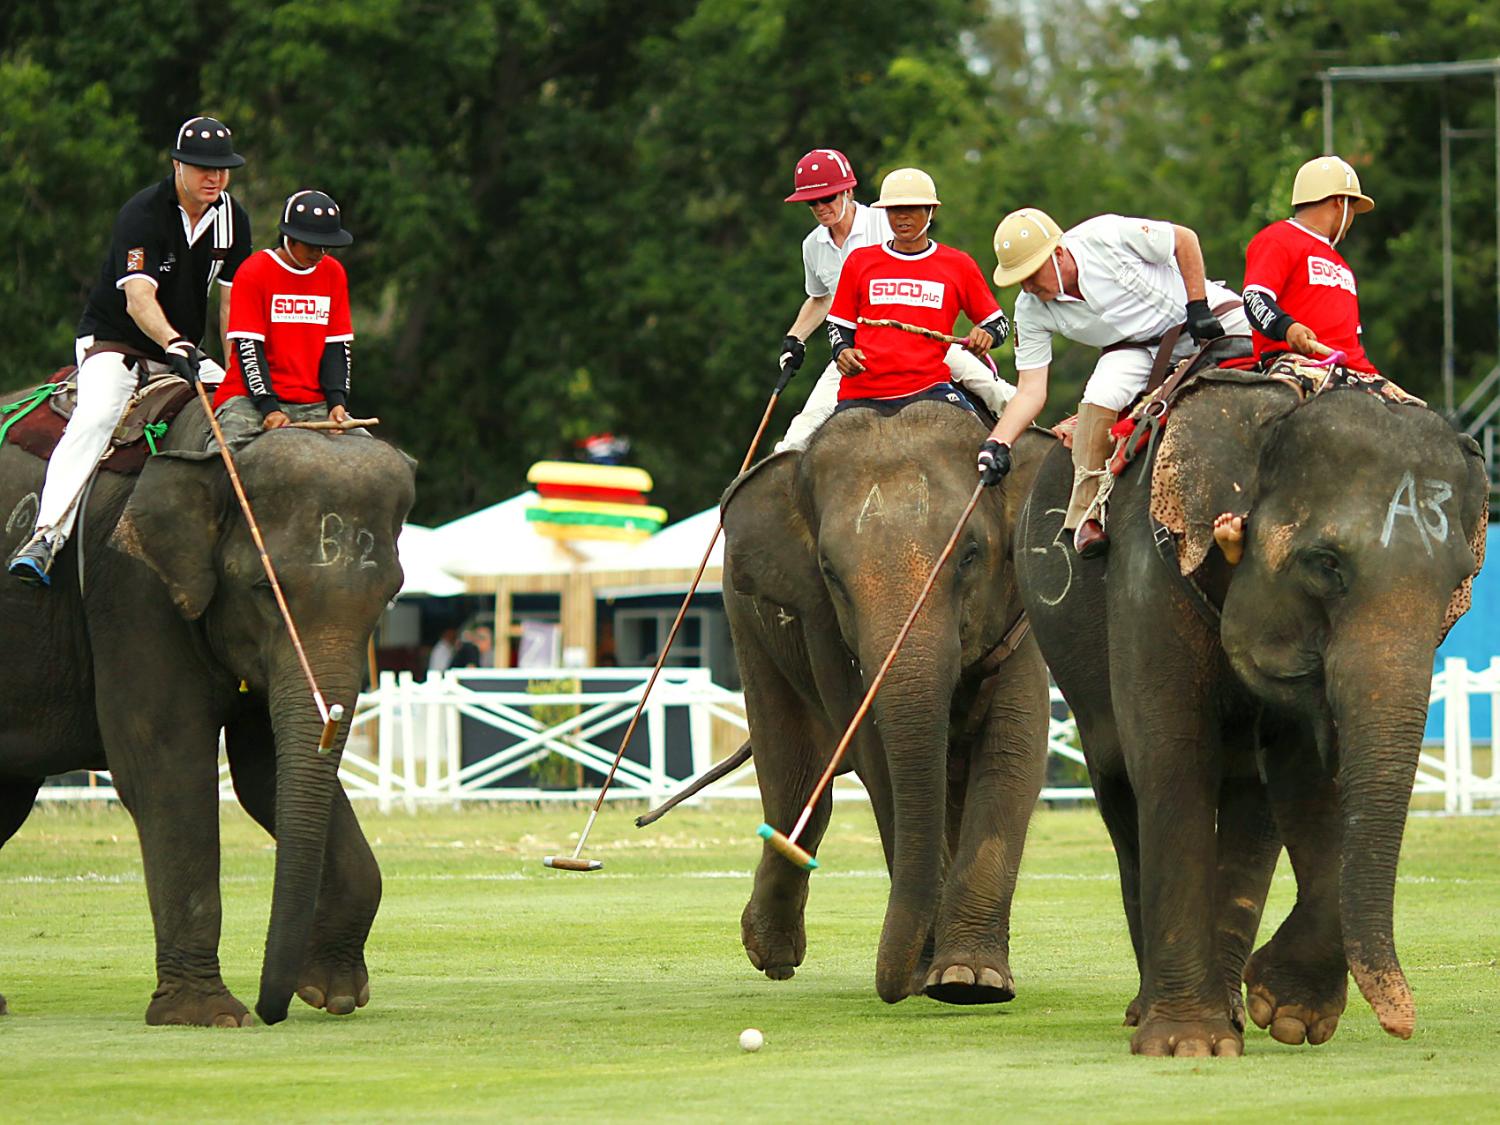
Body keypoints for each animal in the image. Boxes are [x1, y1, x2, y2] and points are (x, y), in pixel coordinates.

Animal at [0, 395, 414, 1025]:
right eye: (265, 589)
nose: (275, 1010)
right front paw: (211, 1015)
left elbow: (263, 774)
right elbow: (166, 768)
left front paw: (333, 993)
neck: (212, 452)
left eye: (390, 595)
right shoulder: (131, 591)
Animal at [721, 399, 1052, 1005]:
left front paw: (971, 980)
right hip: (748, 627)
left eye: (970, 555)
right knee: (794, 779)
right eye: (831, 573)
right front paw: (933, 974)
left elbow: (1015, 746)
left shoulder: (1020, 611)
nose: (894, 987)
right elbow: (880, 764)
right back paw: (772, 955)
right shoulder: (823, 626)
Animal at [1016, 376, 1488, 1056]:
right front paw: (1188, 1044)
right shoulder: (1149, 566)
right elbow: (1171, 751)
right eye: (1326, 564)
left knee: (1252, 798)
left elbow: (1310, 774)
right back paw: (1152, 1010)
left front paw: (1286, 1013)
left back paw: (1234, 1007)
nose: (1402, 1022)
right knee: (1119, 783)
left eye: (1460, 581)